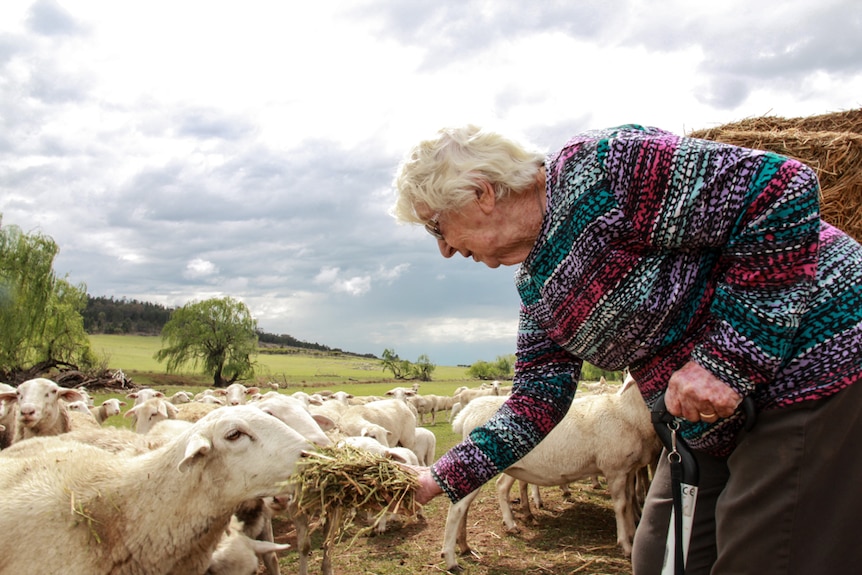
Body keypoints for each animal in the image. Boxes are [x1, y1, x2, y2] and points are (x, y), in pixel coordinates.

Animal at [442, 374, 664, 572]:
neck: (628, 412)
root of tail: (467, 413)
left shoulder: (629, 470)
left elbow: (630, 500)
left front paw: (633, 533)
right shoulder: (614, 468)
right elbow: (621, 506)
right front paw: (625, 544)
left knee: (489, 494)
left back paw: (474, 540)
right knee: (457, 508)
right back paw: (451, 559)